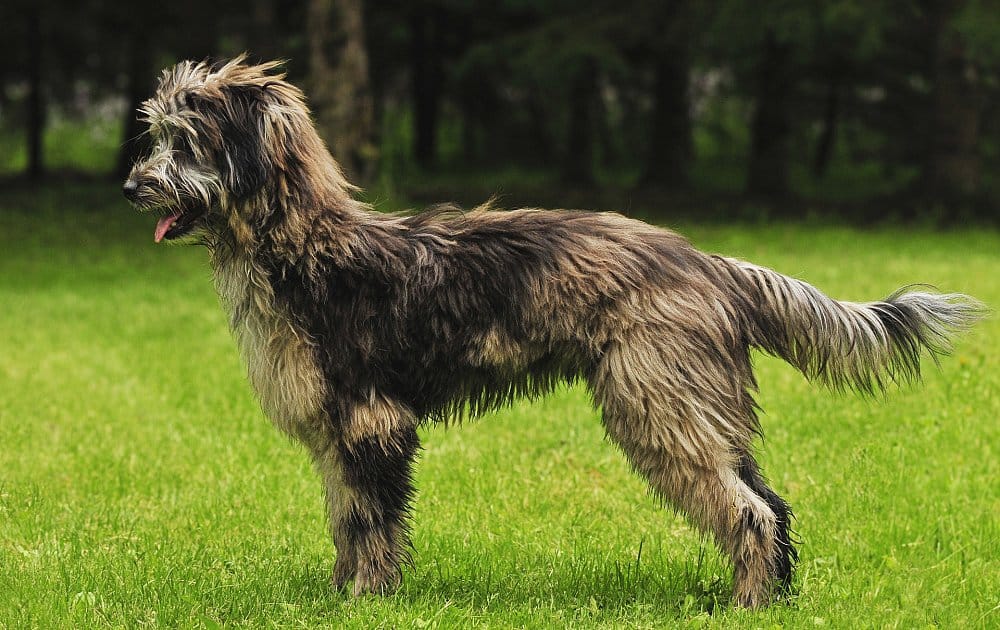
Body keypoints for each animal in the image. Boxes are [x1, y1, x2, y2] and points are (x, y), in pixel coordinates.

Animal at [123, 56, 984, 608]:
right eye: (156, 135)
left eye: (185, 142)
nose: (132, 185)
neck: (299, 247)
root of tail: (705, 261)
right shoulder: (335, 431)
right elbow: (346, 517)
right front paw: (339, 594)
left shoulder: (370, 419)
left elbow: (371, 520)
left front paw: (367, 597)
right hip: (699, 408)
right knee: (771, 499)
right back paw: (774, 597)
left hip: (660, 406)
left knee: (750, 510)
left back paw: (744, 603)